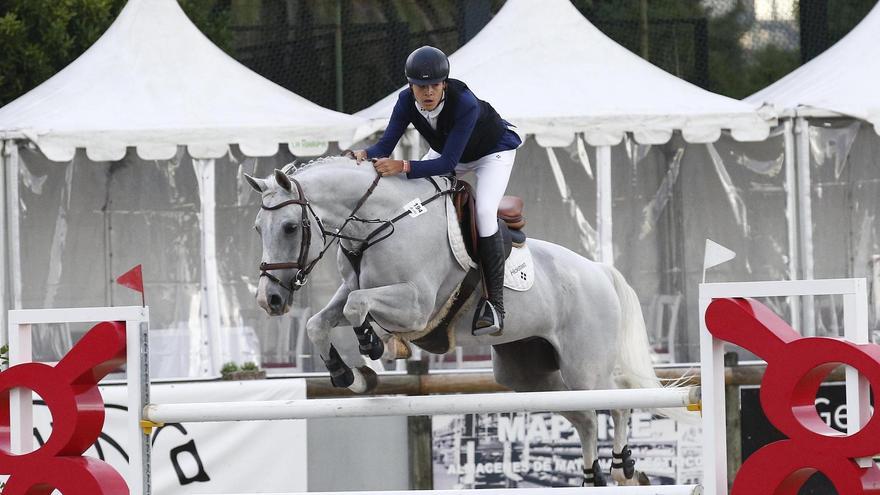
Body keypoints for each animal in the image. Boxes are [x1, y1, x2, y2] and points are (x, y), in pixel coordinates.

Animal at [246, 158, 688, 488]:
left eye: (290, 227)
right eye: (257, 229)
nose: (270, 300)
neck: (379, 223)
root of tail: (599, 271)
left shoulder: (416, 305)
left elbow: (358, 308)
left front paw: (372, 343)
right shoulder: (349, 291)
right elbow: (319, 323)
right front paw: (350, 376)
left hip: (585, 367)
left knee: (616, 401)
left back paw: (623, 465)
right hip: (528, 374)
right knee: (584, 418)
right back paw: (591, 475)